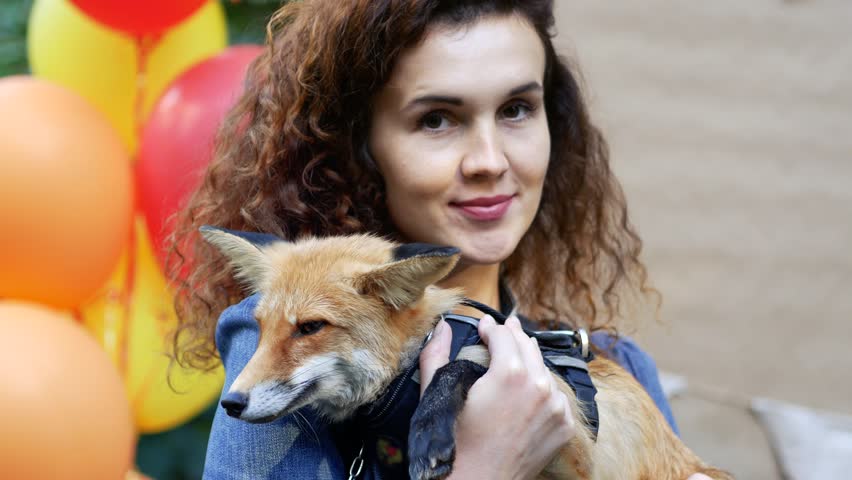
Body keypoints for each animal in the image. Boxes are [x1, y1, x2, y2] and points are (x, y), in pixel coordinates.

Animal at [201, 226, 733, 480]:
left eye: (310, 327)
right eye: (261, 328)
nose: (231, 403)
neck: (402, 383)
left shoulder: (575, 439)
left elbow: (458, 365)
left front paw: (429, 435)